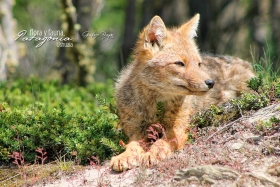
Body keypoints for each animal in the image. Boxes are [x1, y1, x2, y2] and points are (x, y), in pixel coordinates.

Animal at [110, 13, 256, 172]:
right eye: (179, 63)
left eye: (198, 64)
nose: (211, 83)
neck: (156, 107)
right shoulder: (136, 131)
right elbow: (132, 145)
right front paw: (124, 156)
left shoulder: (177, 128)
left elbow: (161, 142)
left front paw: (153, 153)